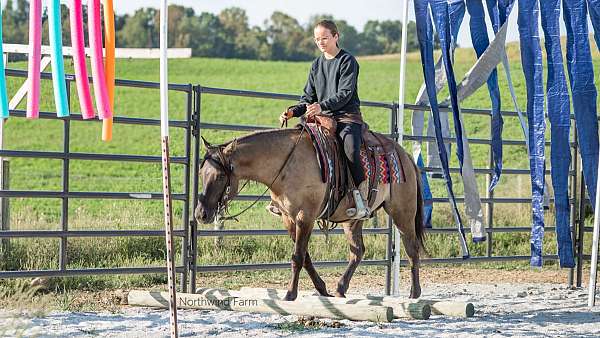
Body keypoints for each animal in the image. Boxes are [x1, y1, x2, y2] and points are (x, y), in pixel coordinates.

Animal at [195, 127, 424, 302]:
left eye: (220, 176)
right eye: (201, 173)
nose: (200, 214)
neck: (286, 164)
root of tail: (404, 155)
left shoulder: (305, 217)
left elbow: (297, 256)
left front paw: (290, 294)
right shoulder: (288, 218)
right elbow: (305, 256)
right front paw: (322, 289)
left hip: (402, 211)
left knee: (412, 249)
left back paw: (414, 294)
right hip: (352, 220)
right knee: (357, 251)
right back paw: (340, 288)